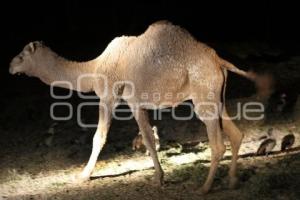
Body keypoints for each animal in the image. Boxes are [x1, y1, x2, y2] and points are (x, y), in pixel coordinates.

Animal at [8, 20, 255, 194]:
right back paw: (232, 181)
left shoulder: (111, 96)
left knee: (218, 144)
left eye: (21, 55)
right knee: (236, 134)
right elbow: (148, 137)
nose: (10, 66)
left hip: (203, 94)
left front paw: (84, 175)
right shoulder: (136, 102)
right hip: (217, 96)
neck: (94, 68)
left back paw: (204, 188)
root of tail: (218, 60)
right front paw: (159, 177)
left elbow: (102, 137)